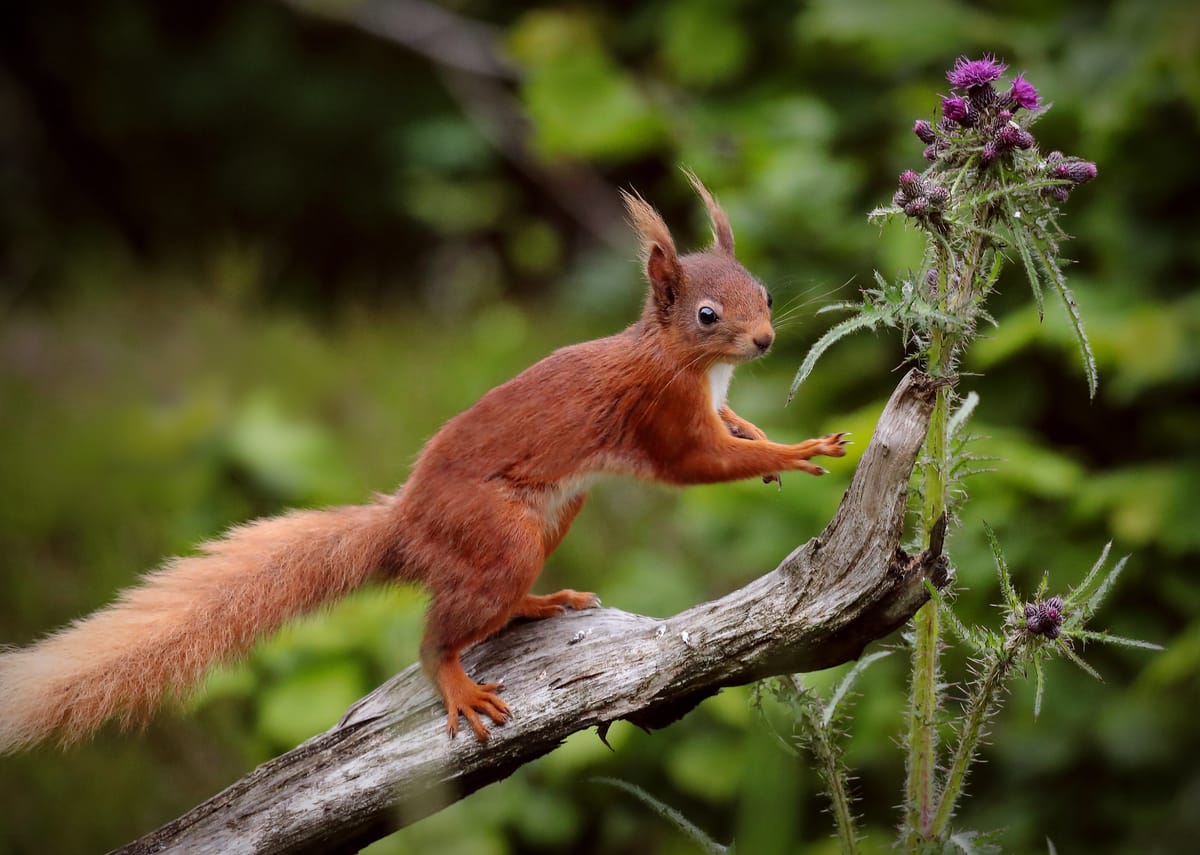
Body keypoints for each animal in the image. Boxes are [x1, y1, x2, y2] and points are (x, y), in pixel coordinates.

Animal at [0, 175, 844, 749]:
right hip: (497, 534)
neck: (690, 364)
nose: (765, 340)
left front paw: (760, 434)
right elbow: (700, 463)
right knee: (436, 636)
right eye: (706, 314)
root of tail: (406, 524)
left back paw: (539, 603)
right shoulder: (661, 418)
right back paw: (458, 679)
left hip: (550, 517)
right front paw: (797, 450)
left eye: (765, 292)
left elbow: (731, 429)